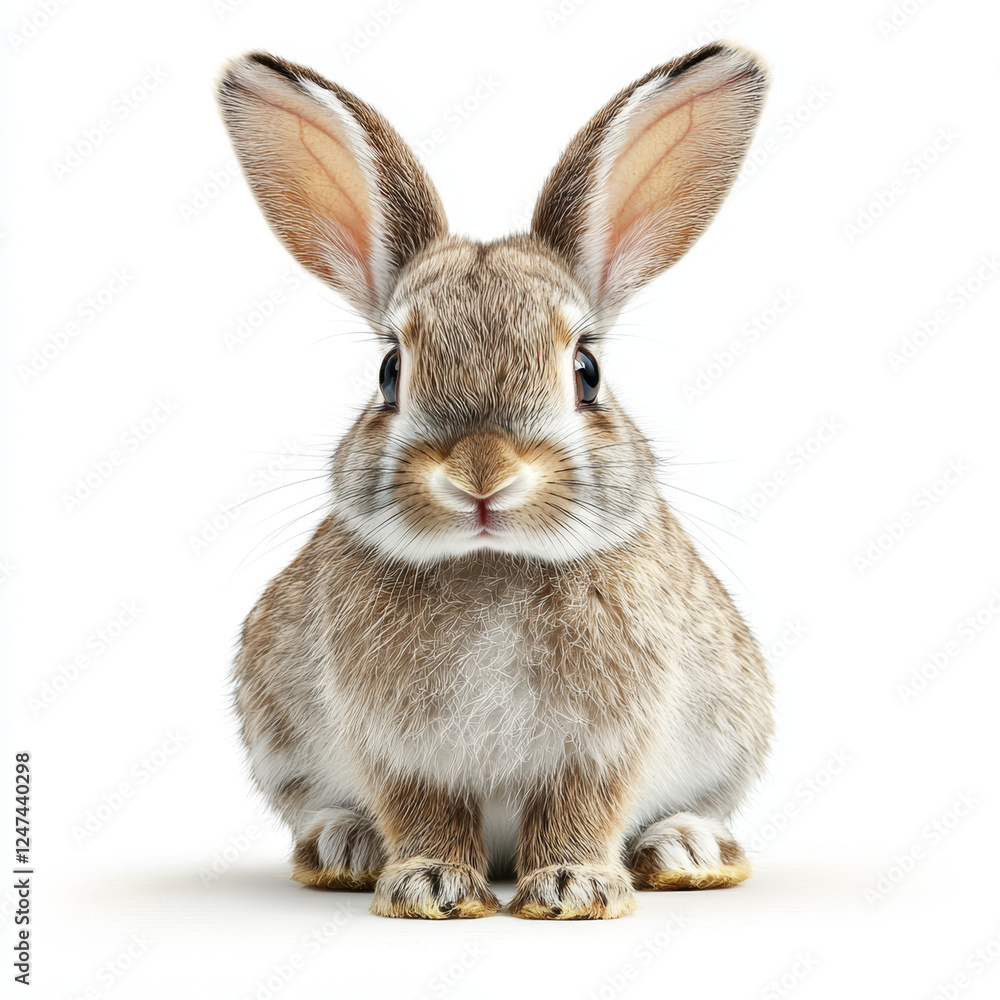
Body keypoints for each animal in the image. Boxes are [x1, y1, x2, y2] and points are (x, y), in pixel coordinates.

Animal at [216, 41, 774, 920]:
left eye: (587, 372)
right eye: (389, 372)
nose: (482, 473)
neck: (490, 564)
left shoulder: (603, 743)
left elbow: (583, 806)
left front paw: (574, 889)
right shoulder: (401, 749)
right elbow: (424, 808)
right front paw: (431, 887)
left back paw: (686, 850)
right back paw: (345, 846)